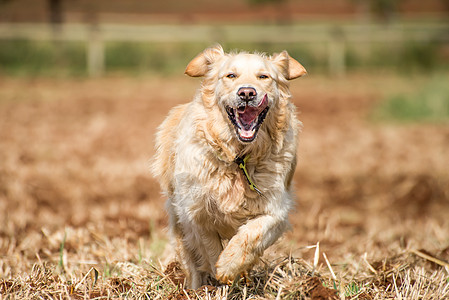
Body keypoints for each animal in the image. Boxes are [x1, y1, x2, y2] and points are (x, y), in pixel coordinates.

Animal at [152, 44, 306, 288]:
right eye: (231, 76)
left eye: (264, 77)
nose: (247, 93)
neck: (238, 157)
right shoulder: (195, 213)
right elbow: (210, 247)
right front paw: (218, 272)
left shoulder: (276, 209)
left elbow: (252, 234)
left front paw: (229, 265)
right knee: (190, 263)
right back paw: (194, 289)